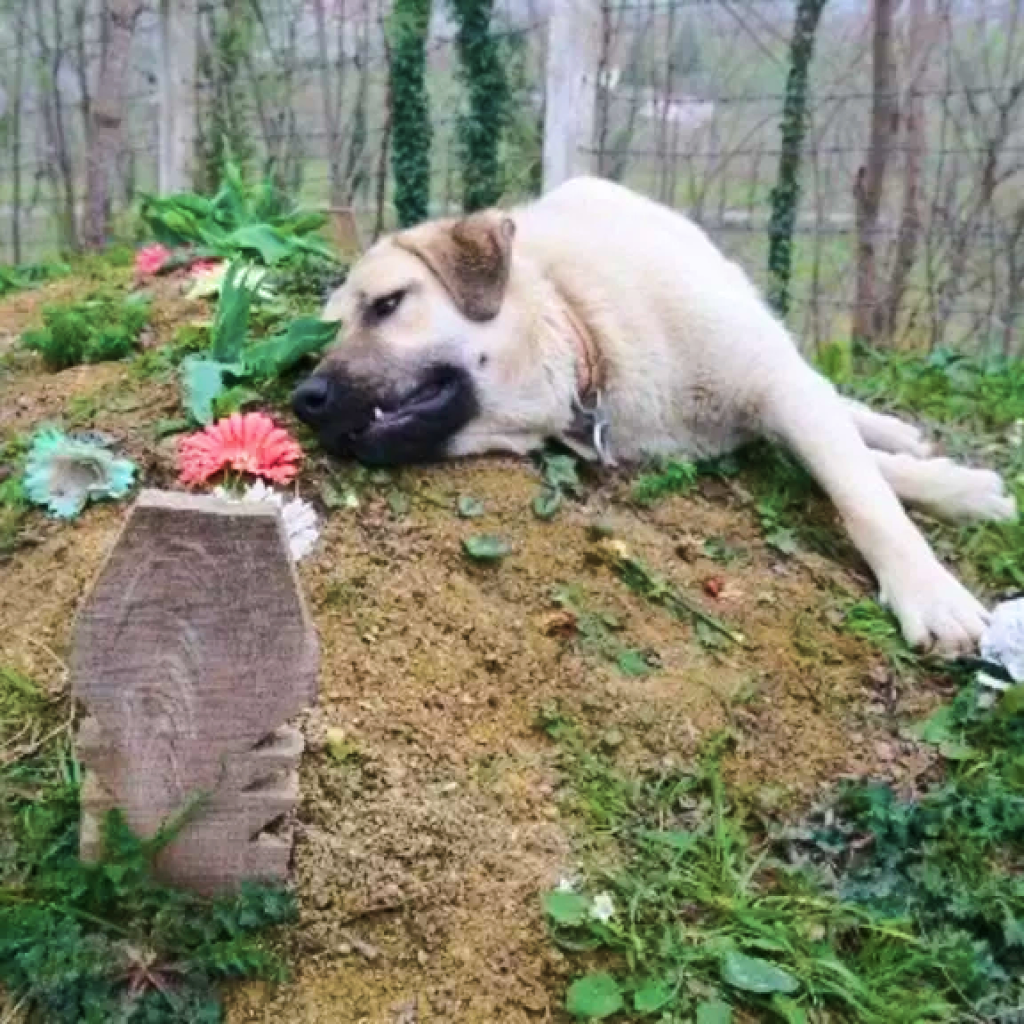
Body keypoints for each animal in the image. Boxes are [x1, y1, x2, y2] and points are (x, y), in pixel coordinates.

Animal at [292, 176, 1019, 655]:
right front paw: (955, 489)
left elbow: (863, 492)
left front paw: (931, 587)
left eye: (388, 304)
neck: (585, 330)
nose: (305, 400)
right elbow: (860, 472)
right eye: (321, 341)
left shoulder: (775, 387)